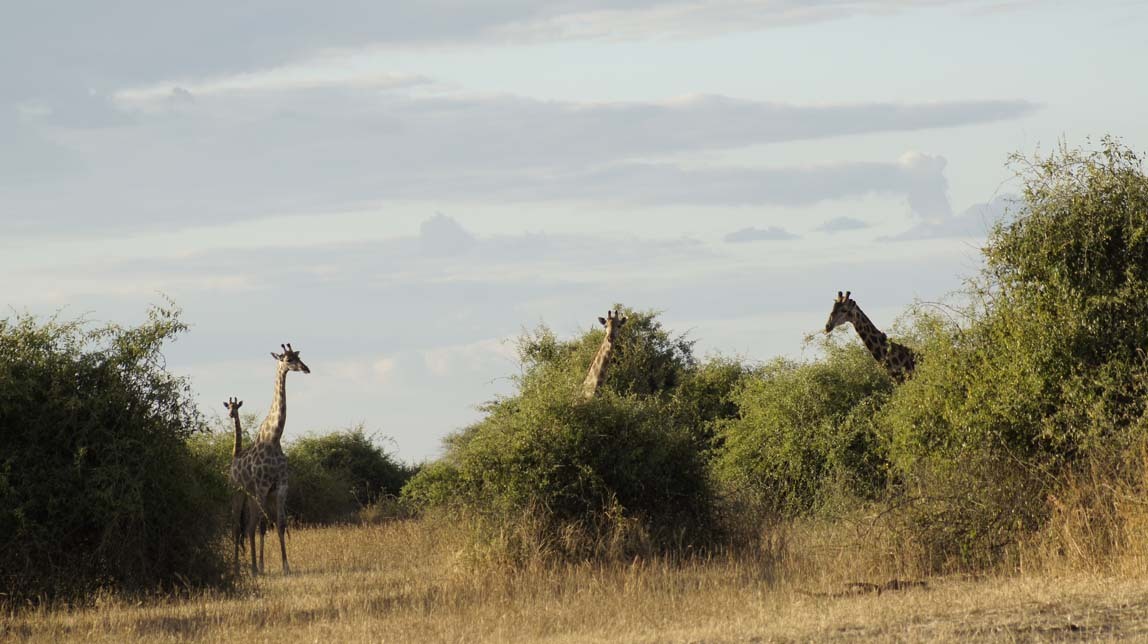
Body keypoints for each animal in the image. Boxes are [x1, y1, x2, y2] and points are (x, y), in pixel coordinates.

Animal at [230, 344, 309, 573]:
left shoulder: (281, 486)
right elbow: (260, 526)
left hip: (252, 494)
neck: (273, 439)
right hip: (238, 492)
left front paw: (285, 567)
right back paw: (240, 567)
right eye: (287, 359)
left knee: (249, 525)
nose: (306, 368)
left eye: (298, 356)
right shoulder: (263, 486)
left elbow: (280, 524)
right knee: (238, 526)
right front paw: (258, 566)